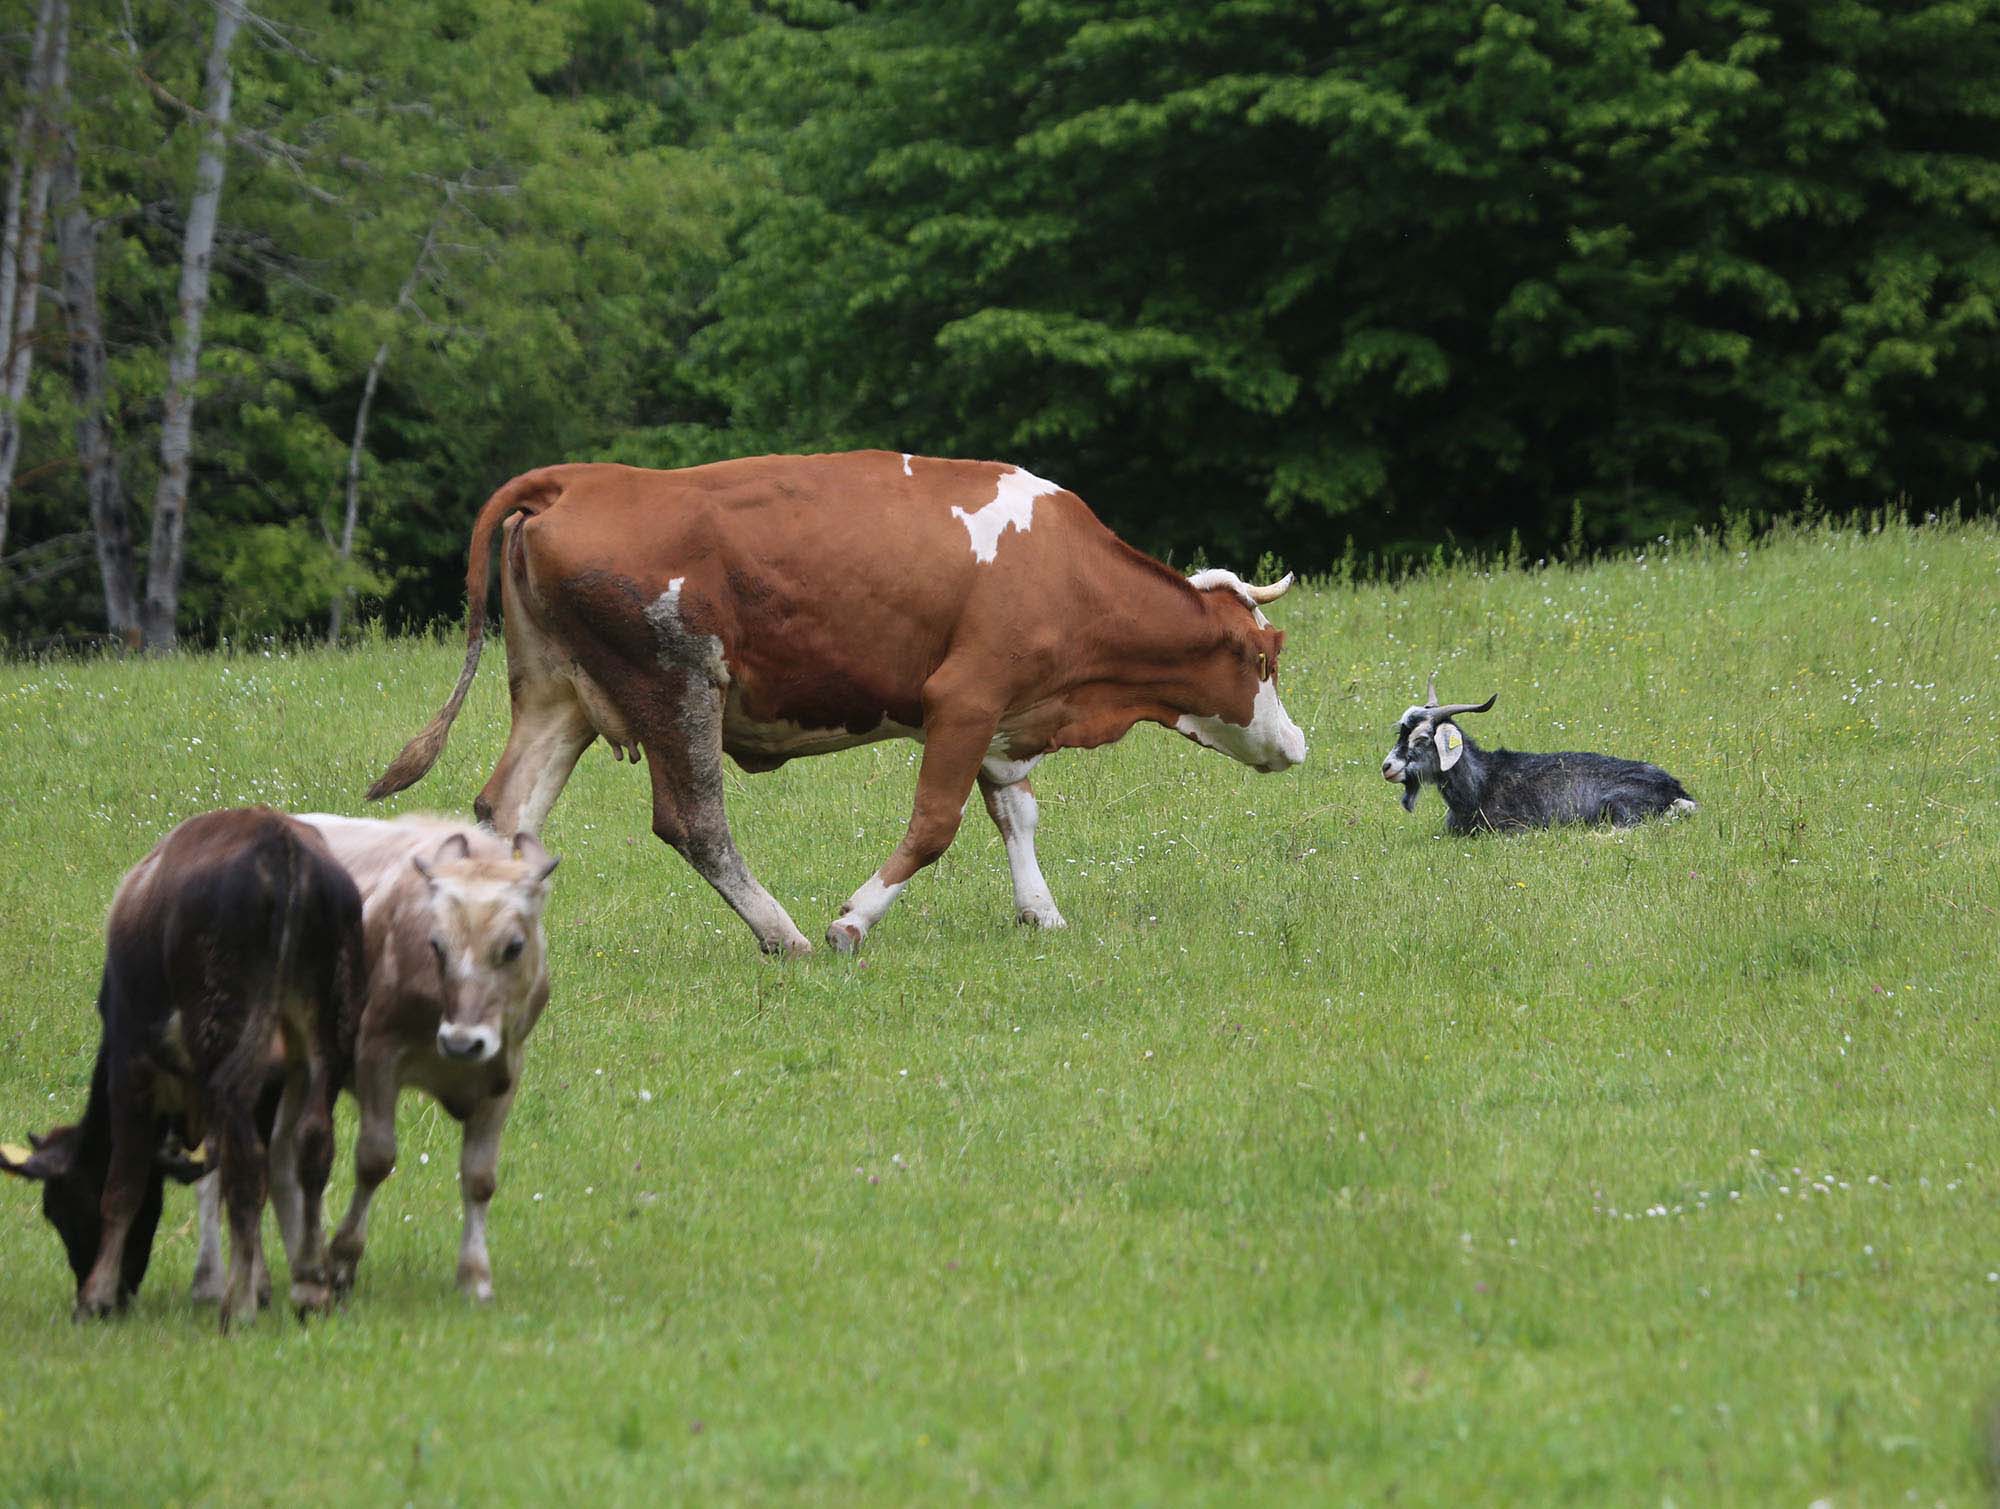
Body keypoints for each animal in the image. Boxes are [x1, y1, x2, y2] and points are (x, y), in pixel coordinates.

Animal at [1, 808, 364, 1329]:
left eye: (58, 1208)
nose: (123, 1292)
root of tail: (279, 842)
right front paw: (266, 1282)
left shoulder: (131, 1068)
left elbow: (124, 1184)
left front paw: (96, 1297)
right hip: (325, 1038)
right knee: (312, 1147)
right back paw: (311, 1292)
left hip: (227, 1043)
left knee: (246, 1164)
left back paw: (238, 1308)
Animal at [194, 814, 560, 1304]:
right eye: (436, 944)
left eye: (514, 946)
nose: (462, 1044)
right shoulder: (376, 1056)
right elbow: (375, 1158)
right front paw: (343, 1259)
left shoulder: (504, 1072)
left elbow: (480, 1177)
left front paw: (475, 1277)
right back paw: (214, 1279)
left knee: (279, 1158)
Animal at [366, 453, 1306, 955]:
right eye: (1265, 656)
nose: (1297, 745)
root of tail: (585, 479)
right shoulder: (965, 697)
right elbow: (934, 825)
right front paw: (854, 919)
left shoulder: (1007, 716)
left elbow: (1017, 814)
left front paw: (1041, 911)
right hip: (676, 684)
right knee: (694, 823)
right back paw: (780, 931)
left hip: (558, 695)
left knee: (508, 808)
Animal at [1382, 673, 1696, 834]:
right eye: (1401, 732)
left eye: (1422, 738)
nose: (1387, 767)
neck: (1482, 783)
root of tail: (1678, 792)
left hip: (1621, 808)